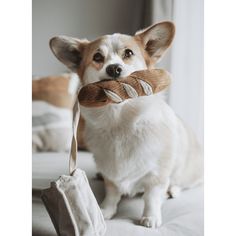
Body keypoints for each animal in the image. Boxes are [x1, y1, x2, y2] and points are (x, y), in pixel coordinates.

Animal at [49, 22, 203, 229]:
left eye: (128, 53)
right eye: (97, 57)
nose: (114, 69)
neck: (119, 121)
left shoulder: (157, 174)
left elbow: (152, 196)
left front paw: (150, 217)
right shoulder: (110, 172)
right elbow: (112, 192)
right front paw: (106, 210)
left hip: (186, 171)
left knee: (180, 183)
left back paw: (173, 190)